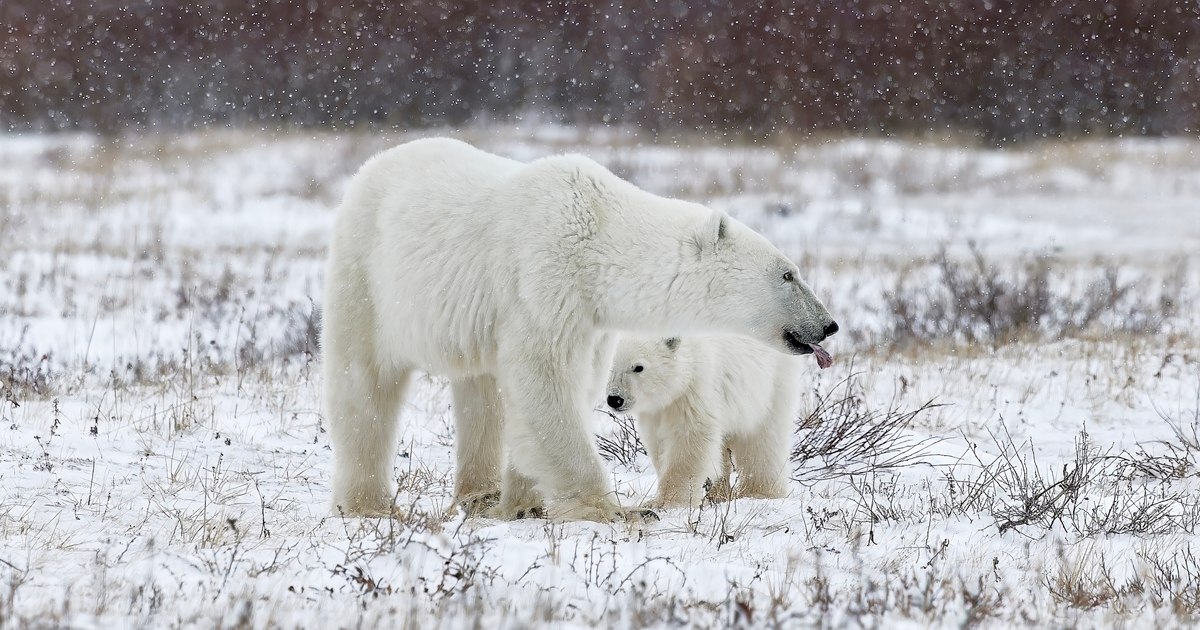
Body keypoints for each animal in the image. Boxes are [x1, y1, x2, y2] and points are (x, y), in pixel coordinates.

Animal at [605, 334, 827, 508]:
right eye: (609, 367)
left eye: (638, 367)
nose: (615, 399)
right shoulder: (657, 410)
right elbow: (659, 443)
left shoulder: (696, 388)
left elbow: (690, 440)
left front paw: (666, 502)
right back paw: (719, 494)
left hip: (770, 382)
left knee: (763, 438)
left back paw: (759, 491)